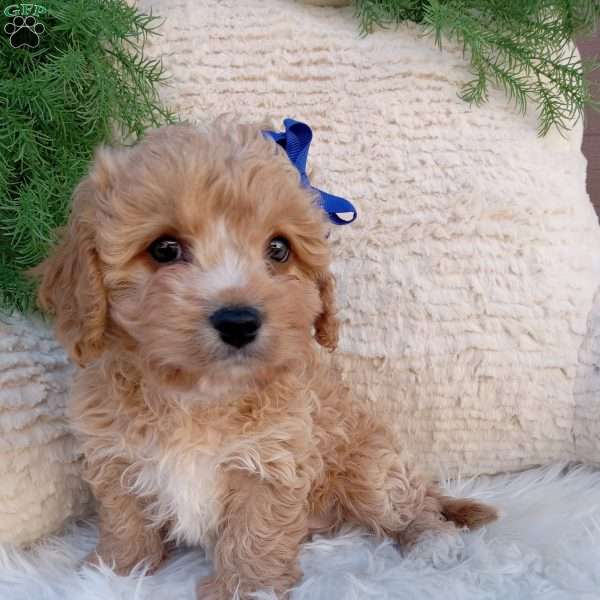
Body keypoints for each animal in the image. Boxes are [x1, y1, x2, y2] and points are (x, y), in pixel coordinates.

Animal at [36, 122, 496, 600]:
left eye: (278, 249)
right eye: (164, 249)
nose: (238, 321)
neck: (198, 394)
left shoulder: (273, 460)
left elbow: (253, 532)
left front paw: (246, 587)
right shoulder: (116, 454)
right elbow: (124, 516)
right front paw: (113, 571)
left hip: (371, 467)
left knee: (410, 503)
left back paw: (433, 540)